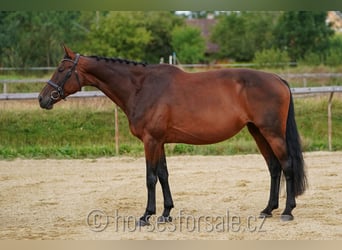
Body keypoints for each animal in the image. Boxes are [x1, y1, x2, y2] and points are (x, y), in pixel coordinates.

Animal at [38, 46, 308, 226]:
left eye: (61, 69)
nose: (42, 99)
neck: (141, 87)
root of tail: (277, 79)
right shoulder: (159, 142)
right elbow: (163, 175)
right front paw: (166, 213)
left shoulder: (151, 141)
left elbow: (150, 178)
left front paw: (146, 215)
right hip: (257, 132)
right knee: (274, 167)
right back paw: (268, 209)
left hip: (272, 133)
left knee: (287, 165)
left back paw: (287, 211)